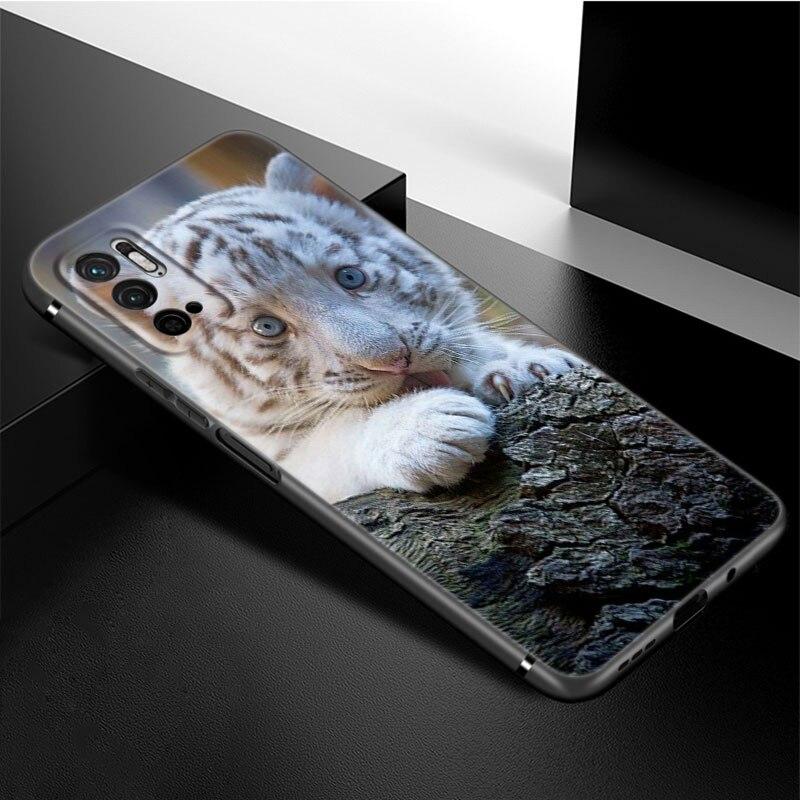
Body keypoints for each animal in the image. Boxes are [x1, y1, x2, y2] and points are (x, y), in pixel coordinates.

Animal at [145, 152, 579, 502]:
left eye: (351, 276)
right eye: (267, 327)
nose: (397, 360)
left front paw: (524, 369)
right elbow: (330, 441)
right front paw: (423, 431)